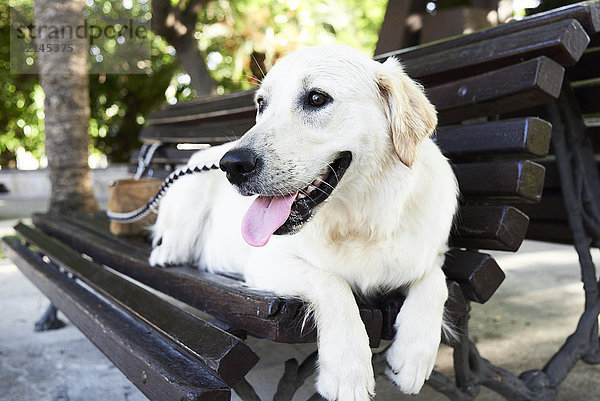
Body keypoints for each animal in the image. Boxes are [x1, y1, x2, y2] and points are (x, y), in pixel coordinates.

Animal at [151, 44, 460, 400]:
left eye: (316, 98)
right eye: (261, 104)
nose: (232, 165)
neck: (362, 221)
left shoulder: (426, 253)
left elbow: (436, 280)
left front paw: (413, 354)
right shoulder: (265, 262)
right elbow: (332, 282)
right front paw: (347, 369)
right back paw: (167, 253)